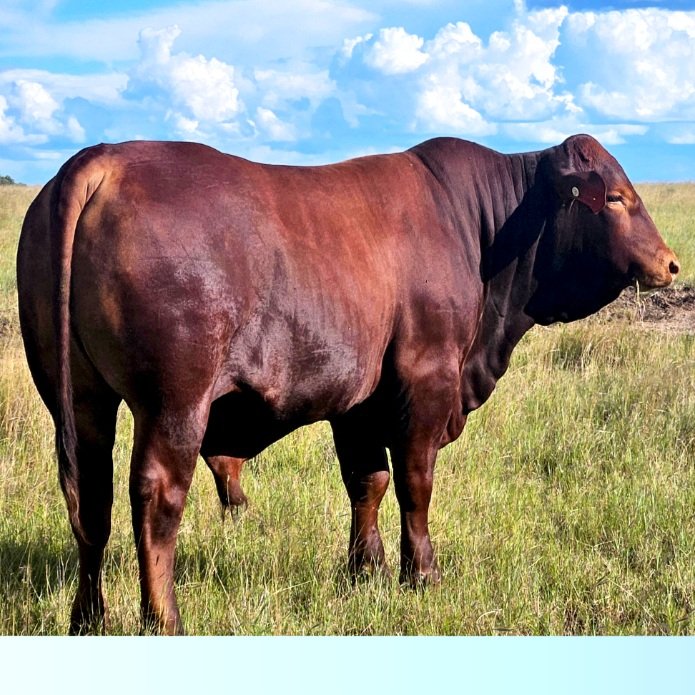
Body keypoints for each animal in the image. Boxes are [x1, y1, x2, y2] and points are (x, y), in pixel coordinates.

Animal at [17, 135, 679, 635]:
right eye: (615, 197)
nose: (671, 264)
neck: (477, 230)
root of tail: (103, 159)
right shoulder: (427, 377)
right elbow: (414, 482)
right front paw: (421, 573)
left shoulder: (359, 400)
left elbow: (368, 481)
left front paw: (366, 570)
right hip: (175, 402)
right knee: (156, 500)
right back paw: (166, 620)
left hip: (78, 398)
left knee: (90, 500)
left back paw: (89, 618)